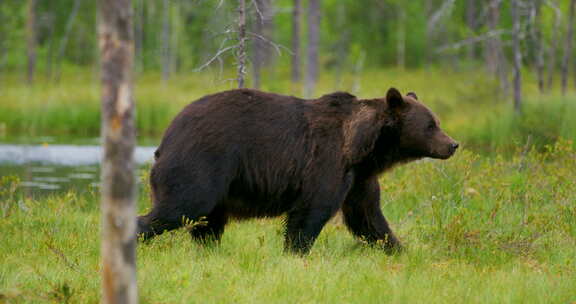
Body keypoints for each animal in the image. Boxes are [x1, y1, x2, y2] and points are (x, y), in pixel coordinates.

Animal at [137, 87, 456, 254]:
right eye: (431, 125)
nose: (453, 144)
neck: (362, 149)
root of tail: (166, 137)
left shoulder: (359, 179)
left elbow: (368, 217)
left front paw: (400, 249)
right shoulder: (326, 163)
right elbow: (311, 213)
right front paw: (296, 253)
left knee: (207, 224)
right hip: (202, 165)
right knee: (182, 207)